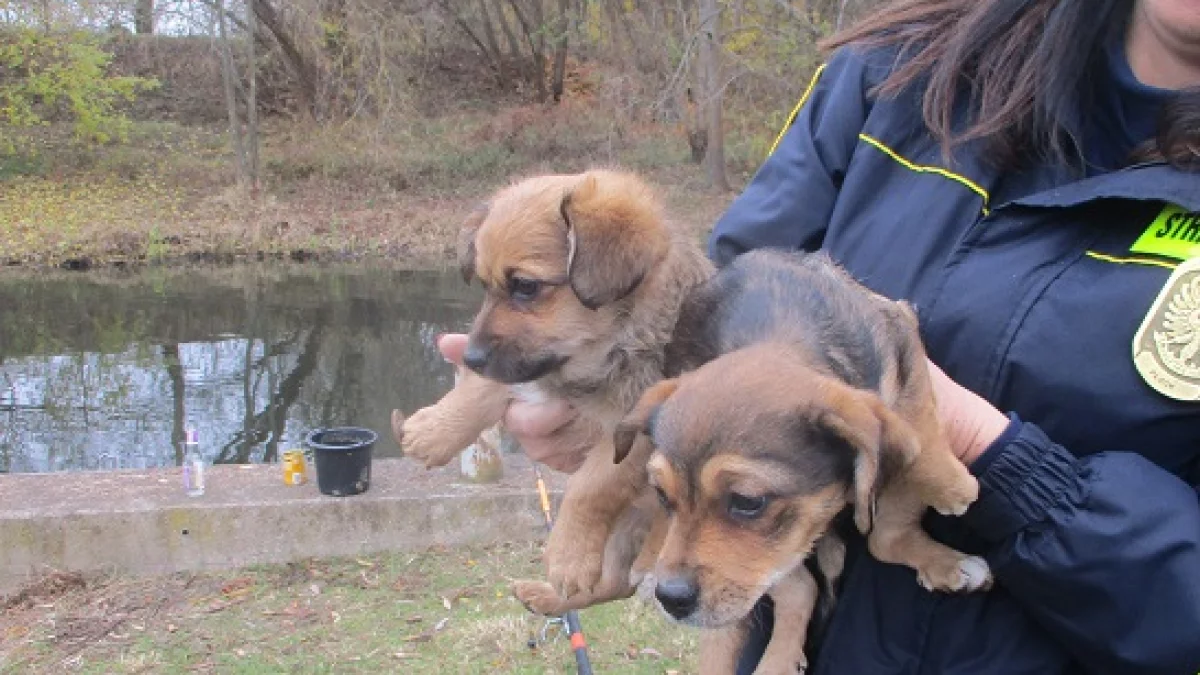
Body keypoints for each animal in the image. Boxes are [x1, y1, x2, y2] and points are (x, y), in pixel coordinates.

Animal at [619, 248, 993, 672]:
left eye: (747, 501)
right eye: (662, 496)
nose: (671, 598)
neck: (780, 332)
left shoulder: (900, 336)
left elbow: (916, 425)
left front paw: (952, 485)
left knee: (881, 537)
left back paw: (949, 564)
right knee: (810, 582)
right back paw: (777, 658)